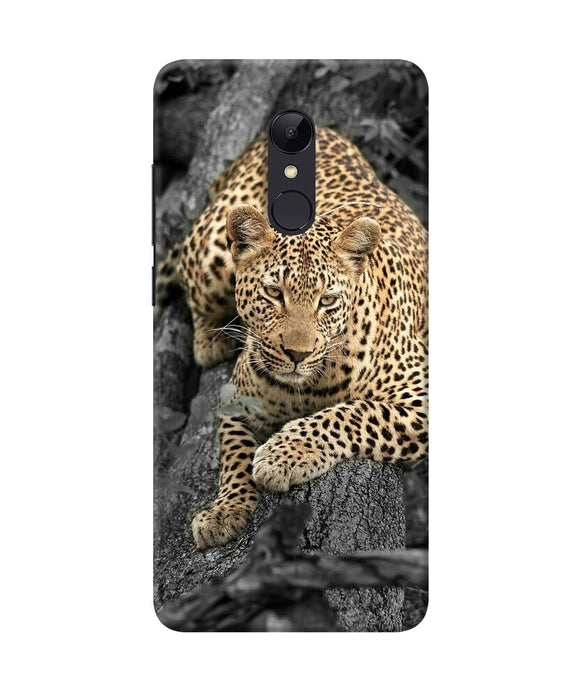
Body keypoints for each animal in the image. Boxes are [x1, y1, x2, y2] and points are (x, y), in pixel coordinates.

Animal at [161, 127, 428, 550]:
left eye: (327, 300)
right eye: (274, 293)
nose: (296, 354)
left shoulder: (421, 397)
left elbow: (353, 413)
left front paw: (282, 456)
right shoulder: (235, 400)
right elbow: (234, 456)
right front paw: (224, 511)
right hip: (212, 255)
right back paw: (210, 340)